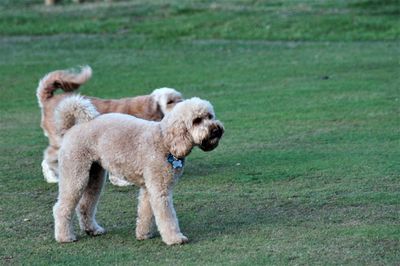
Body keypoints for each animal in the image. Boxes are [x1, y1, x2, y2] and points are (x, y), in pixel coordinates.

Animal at [36, 65, 183, 185]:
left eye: (180, 98)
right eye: (170, 101)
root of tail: (48, 98)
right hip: (61, 140)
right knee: (48, 157)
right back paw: (54, 176)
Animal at [52, 95, 225, 245]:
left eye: (210, 116)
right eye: (197, 120)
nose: (217, 129)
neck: (165, 141)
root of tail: (71, 129)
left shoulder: (149, 188)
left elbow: (146, 213)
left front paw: (144, 234)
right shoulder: (160, 190)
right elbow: (167, 217)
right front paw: (175, 238)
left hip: (95, 177)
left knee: (84, 206)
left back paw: (92, 230)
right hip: (75, 175)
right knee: (61, 208)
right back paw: (64, 237)